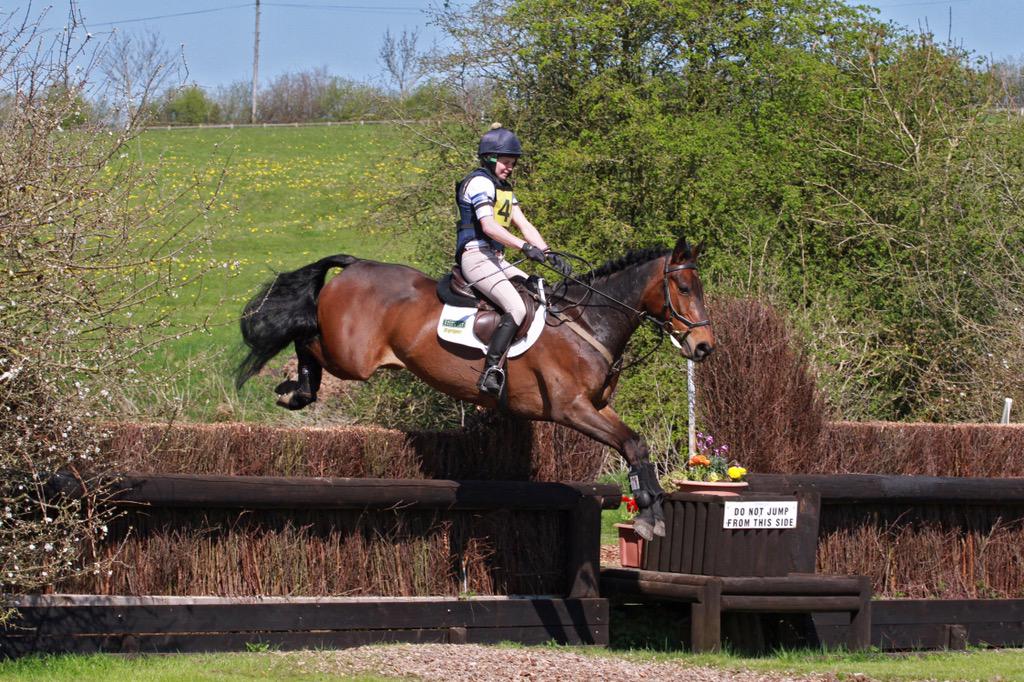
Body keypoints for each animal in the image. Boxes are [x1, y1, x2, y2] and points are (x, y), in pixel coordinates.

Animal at [235, 235, 715, 541]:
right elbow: (630, 443)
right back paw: (297, 388)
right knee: (304, 335)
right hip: (349, 356)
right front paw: (649, 513)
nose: (704, 346)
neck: (587, 322)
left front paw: (652, 510)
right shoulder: (571, 409)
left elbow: (636, 443)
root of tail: (356, 265)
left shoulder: (595, 407)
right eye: (683, 287)